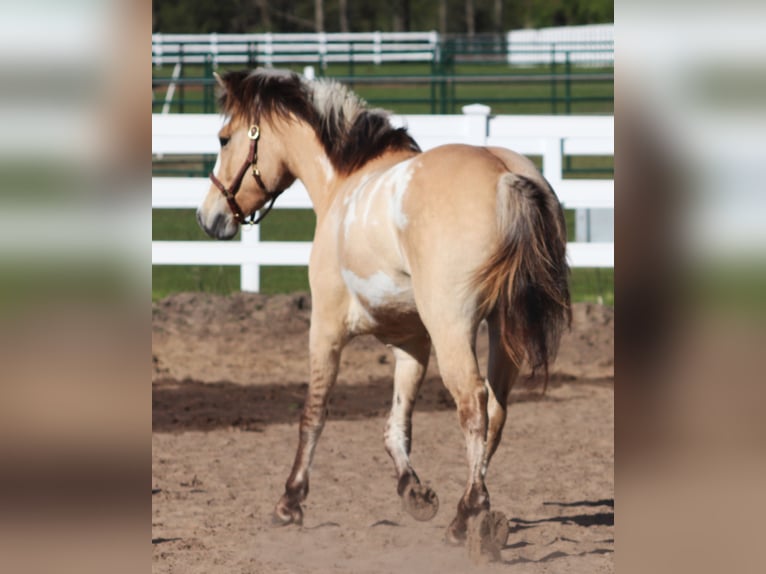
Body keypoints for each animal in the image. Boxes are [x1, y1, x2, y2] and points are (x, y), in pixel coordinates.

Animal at [197, 68, 571, 556]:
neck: (345, 182)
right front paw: (415, 494)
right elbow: (396, 426)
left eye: (224, 139)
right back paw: (472, 511)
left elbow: (313, 415)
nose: (208, 218)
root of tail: (506, 176)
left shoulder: (326, 329)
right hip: (501, 328)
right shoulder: (411, 342)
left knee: (473, 405)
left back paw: (466, 517)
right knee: (497, 411)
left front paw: (290, 503)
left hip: (454, 329)